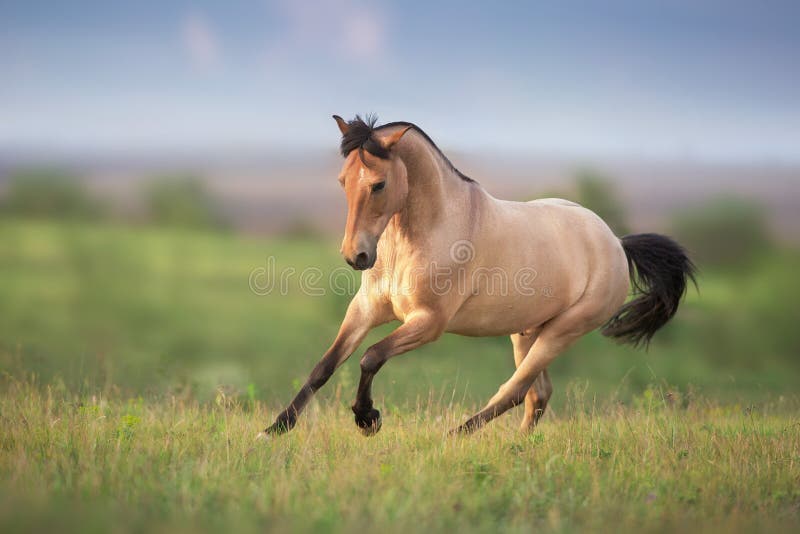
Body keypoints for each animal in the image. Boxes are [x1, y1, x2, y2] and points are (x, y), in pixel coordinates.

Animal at [260, 115, 692, 438]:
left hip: (563, 331)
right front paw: (275, 429)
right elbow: (324, 366)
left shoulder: (427, 323)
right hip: (527, 331)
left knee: (515, 391)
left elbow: (371, 357)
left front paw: (368, 419)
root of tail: (616, 243)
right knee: (537, 394)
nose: (356, 256)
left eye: (379, 184)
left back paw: (452, 436)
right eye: (342, 181)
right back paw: (515, 448)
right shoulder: (365, 310)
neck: (424, 234)